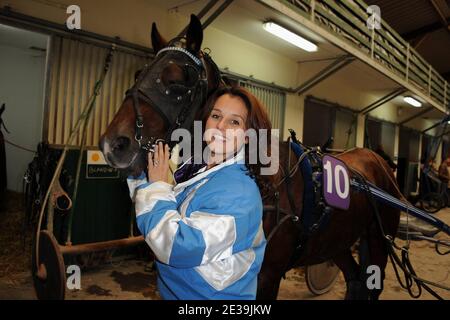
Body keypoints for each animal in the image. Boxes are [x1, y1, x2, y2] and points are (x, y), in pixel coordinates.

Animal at [100, 15, 400, 300]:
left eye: (177, 78)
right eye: (138, 73)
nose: (113, 144)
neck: (266, 181)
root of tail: (378, 162)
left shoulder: (268, 276)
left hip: (378, 241)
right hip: (336, 242)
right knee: (355, 280)